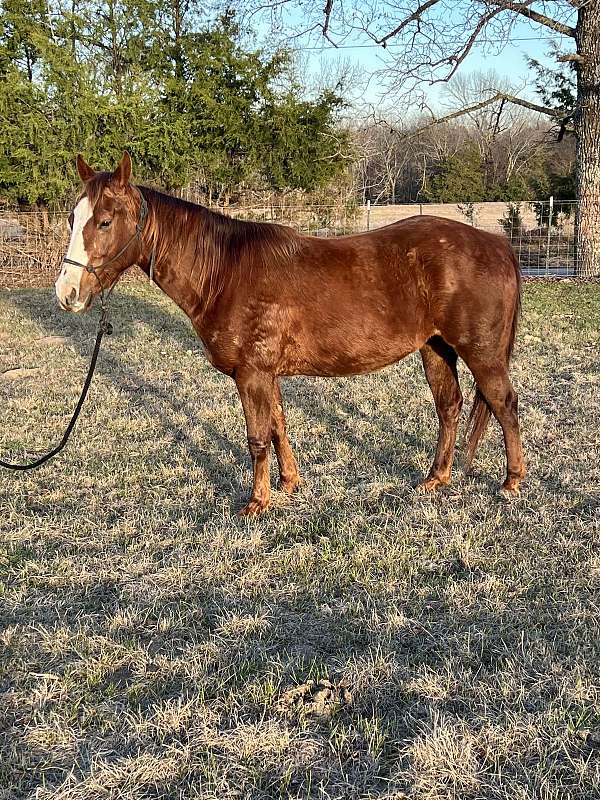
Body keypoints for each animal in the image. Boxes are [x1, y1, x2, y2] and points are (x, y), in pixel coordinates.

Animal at [56, 153, 524, 516]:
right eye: (73, 217)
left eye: (104, 221)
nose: (67, 293)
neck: (224, 272)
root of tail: (496, 244)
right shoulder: (267, 375)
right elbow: (279, 425)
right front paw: (288, 484)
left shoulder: (252, 375)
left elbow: (257, 438)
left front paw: (256, 503)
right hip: (435, 348)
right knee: (449, 407)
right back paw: (436, 478)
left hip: (481, 354)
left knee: (503, 403)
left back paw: (511, 481)